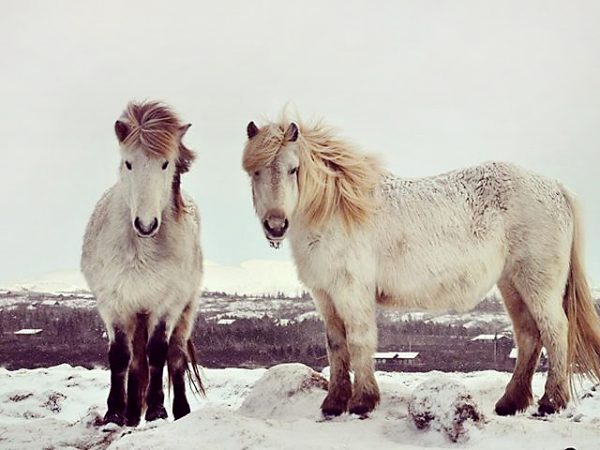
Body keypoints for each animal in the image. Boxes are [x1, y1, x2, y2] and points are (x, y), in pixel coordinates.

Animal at [82, 101, 204, 426]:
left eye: (165, 164)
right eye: (128, 163)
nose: (146, 224)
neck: (141, 248)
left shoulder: (167, 305)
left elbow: (158, 353)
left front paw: (157, 410)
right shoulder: (114, 304)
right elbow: (120, 356)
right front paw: (114, 412)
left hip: (185, 312)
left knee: (175, 357)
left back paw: (179, 411)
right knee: (136, 360)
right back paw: (132, 412)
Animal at [241, 117, 600, 418]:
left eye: (293, 169)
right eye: (255, 171)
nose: (275, 225)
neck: (336, 211)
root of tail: (555, 187)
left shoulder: (352, 292)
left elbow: (359, 341)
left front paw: (362, 402)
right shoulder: (325, 295)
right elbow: (336, 344)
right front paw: (333, 403)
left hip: (537, 283)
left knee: (555, 330)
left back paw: (551, 402)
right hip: (511, 285)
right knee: (528, 336)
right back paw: (509, 403)